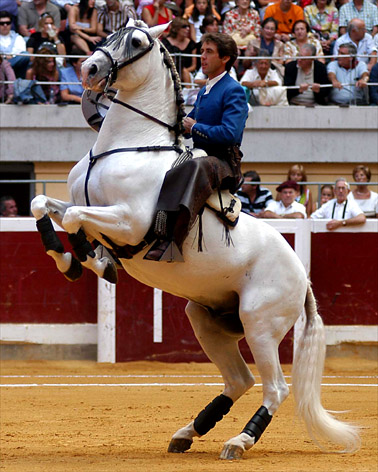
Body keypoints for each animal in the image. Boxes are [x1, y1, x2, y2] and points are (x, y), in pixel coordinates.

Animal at [30, 20, 360, 460]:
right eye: (111, 33)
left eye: (136, 42)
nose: (90, 69)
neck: (125, 146)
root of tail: (303, 277)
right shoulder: (81, 204)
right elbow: (44, 205)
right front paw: (72, 259)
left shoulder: (130, 222)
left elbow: (73, 217)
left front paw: (91, 258)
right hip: (204, 319)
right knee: (239, 379)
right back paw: (188, 432)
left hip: (260, 323)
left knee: (275, 387)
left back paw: (239, 441)